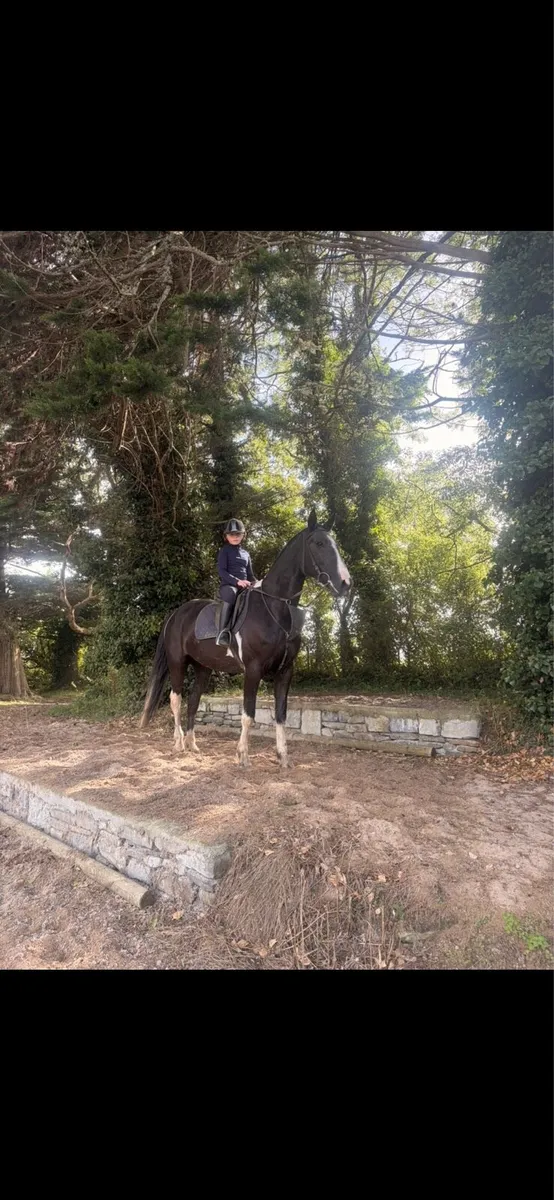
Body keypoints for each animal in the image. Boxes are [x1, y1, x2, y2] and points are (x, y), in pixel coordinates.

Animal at [140, 510, 351, 768]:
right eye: (319, 544)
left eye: (335, 544)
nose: (345, 583)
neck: (274, 608)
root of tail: (176, 614)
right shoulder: (253, 669)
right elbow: (248, 714)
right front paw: (243, 756)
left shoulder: (285, 671)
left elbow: (281, 714)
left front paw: (283, 757)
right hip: (177, 663)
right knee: (176, 699)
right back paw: (179, 743)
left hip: (203, 667)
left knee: (193, 700)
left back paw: (192, 745)